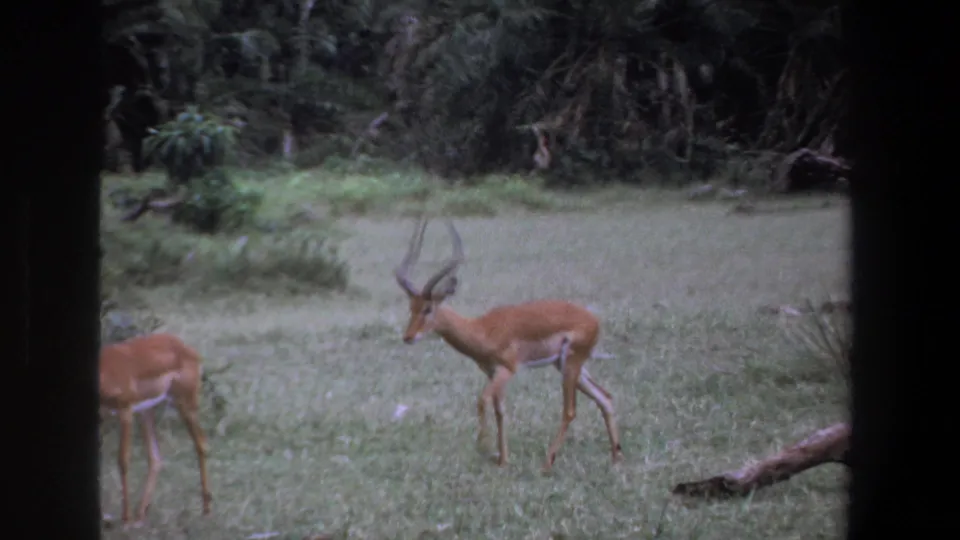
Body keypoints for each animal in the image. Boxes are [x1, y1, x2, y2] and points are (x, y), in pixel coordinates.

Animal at [99, 333, 212, 526]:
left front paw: (126, 519)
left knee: (202, 445)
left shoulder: (125, 412)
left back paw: (206, 510)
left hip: (184, 404)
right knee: (155, 458)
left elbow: (123, 461)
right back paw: (140, 514)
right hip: (147, 411)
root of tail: (186, 348)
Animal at [394, 217, 623, 472]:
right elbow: (499, 410)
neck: (482, 329)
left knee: (570, 410)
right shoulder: (492, 372)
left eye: (428, 308)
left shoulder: (507, 369)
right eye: (411, 308)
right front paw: (503, 459)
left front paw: (484, 448)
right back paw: (616, 459)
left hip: (571, 365)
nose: (408, 337)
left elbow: (482, 401)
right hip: (568, 366)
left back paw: (547, 463)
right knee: (605, 398)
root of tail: (594, 320)